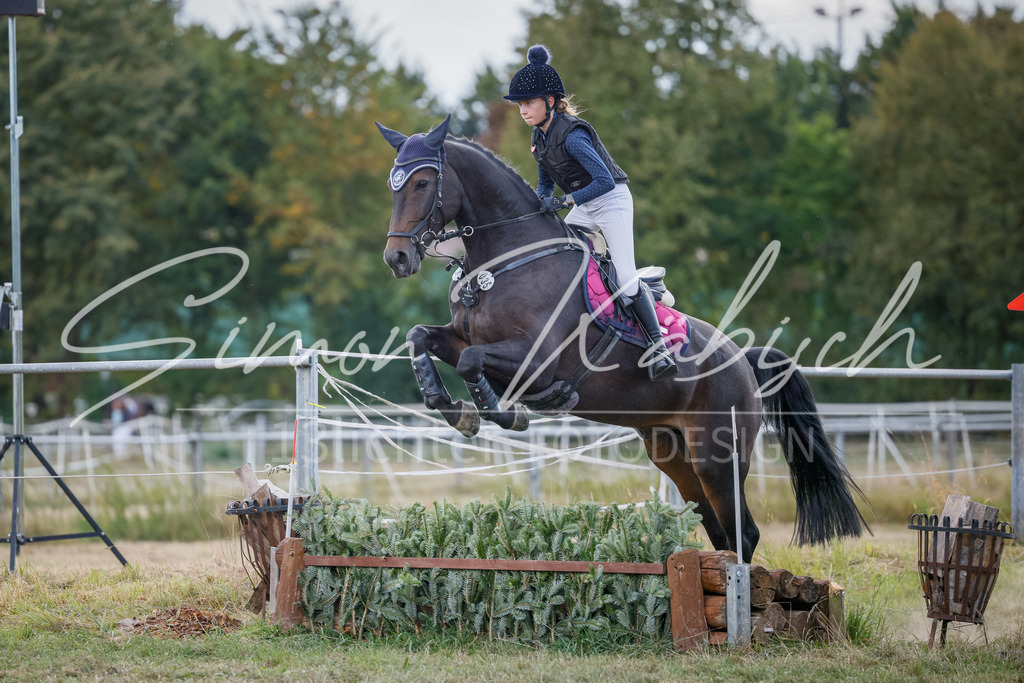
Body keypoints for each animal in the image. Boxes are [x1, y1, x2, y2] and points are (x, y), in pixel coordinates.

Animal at [375, 115, 868, 561]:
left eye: (422, 183)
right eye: (393, 186)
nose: (397, 258)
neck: (507, 261)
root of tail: (743, 360)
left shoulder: (537, 362)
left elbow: (471, 362)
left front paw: (502, 413)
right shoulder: (462, 337)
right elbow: (422, 339)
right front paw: (451, 408)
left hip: (718, 456)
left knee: (742, 533)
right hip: (673, 454)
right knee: (719, 531)